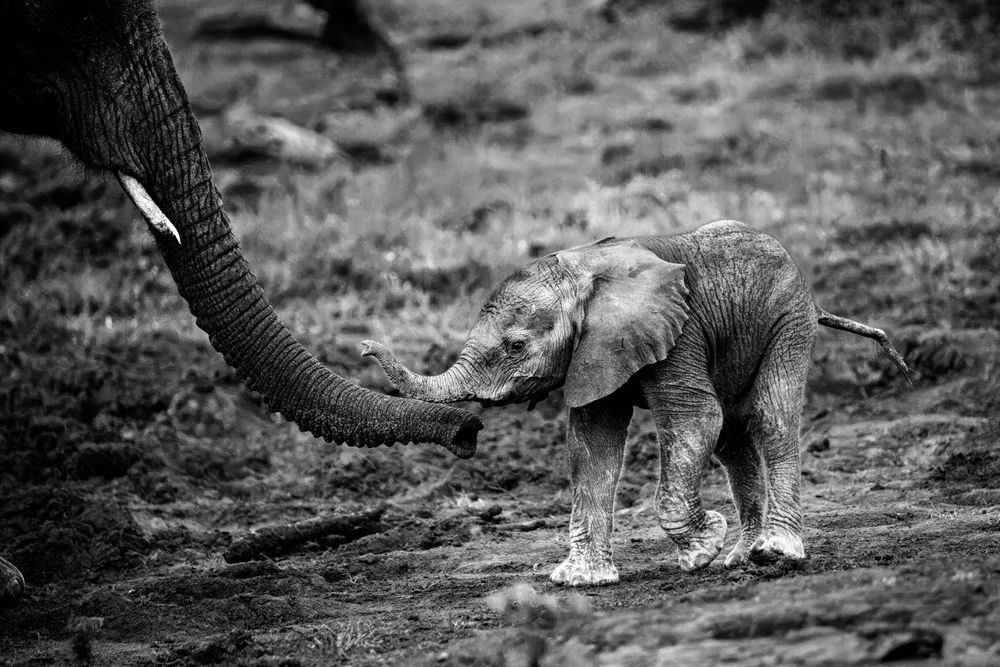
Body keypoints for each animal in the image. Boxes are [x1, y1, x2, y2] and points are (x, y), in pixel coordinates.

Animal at [362, 220, 913, 586]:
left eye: (515, 346)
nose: (365, 347)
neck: (583, 268)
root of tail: (812, 294)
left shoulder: (679, 332)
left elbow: (694, 420)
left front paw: (702, 548)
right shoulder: (592, 351)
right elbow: (592, 446)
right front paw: (578, 581)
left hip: (788, 318)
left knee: (769, 418)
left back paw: (775, 553)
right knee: (732, 438)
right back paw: (741, 557)